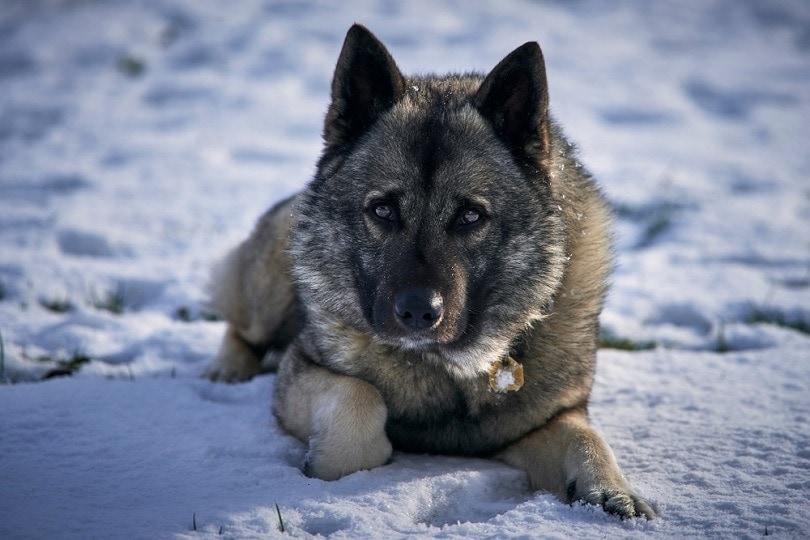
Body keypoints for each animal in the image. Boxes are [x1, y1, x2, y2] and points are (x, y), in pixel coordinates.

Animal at [205, 24, 652, 520]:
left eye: (471, 216)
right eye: (382, 210)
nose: (419, 311)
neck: (447, 369)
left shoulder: (549, 419)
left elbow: (585, 439)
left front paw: (613, 491)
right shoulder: (300, 370)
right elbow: (360, 402)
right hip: (268, 288)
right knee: (240, 325)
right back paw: (227, 370)